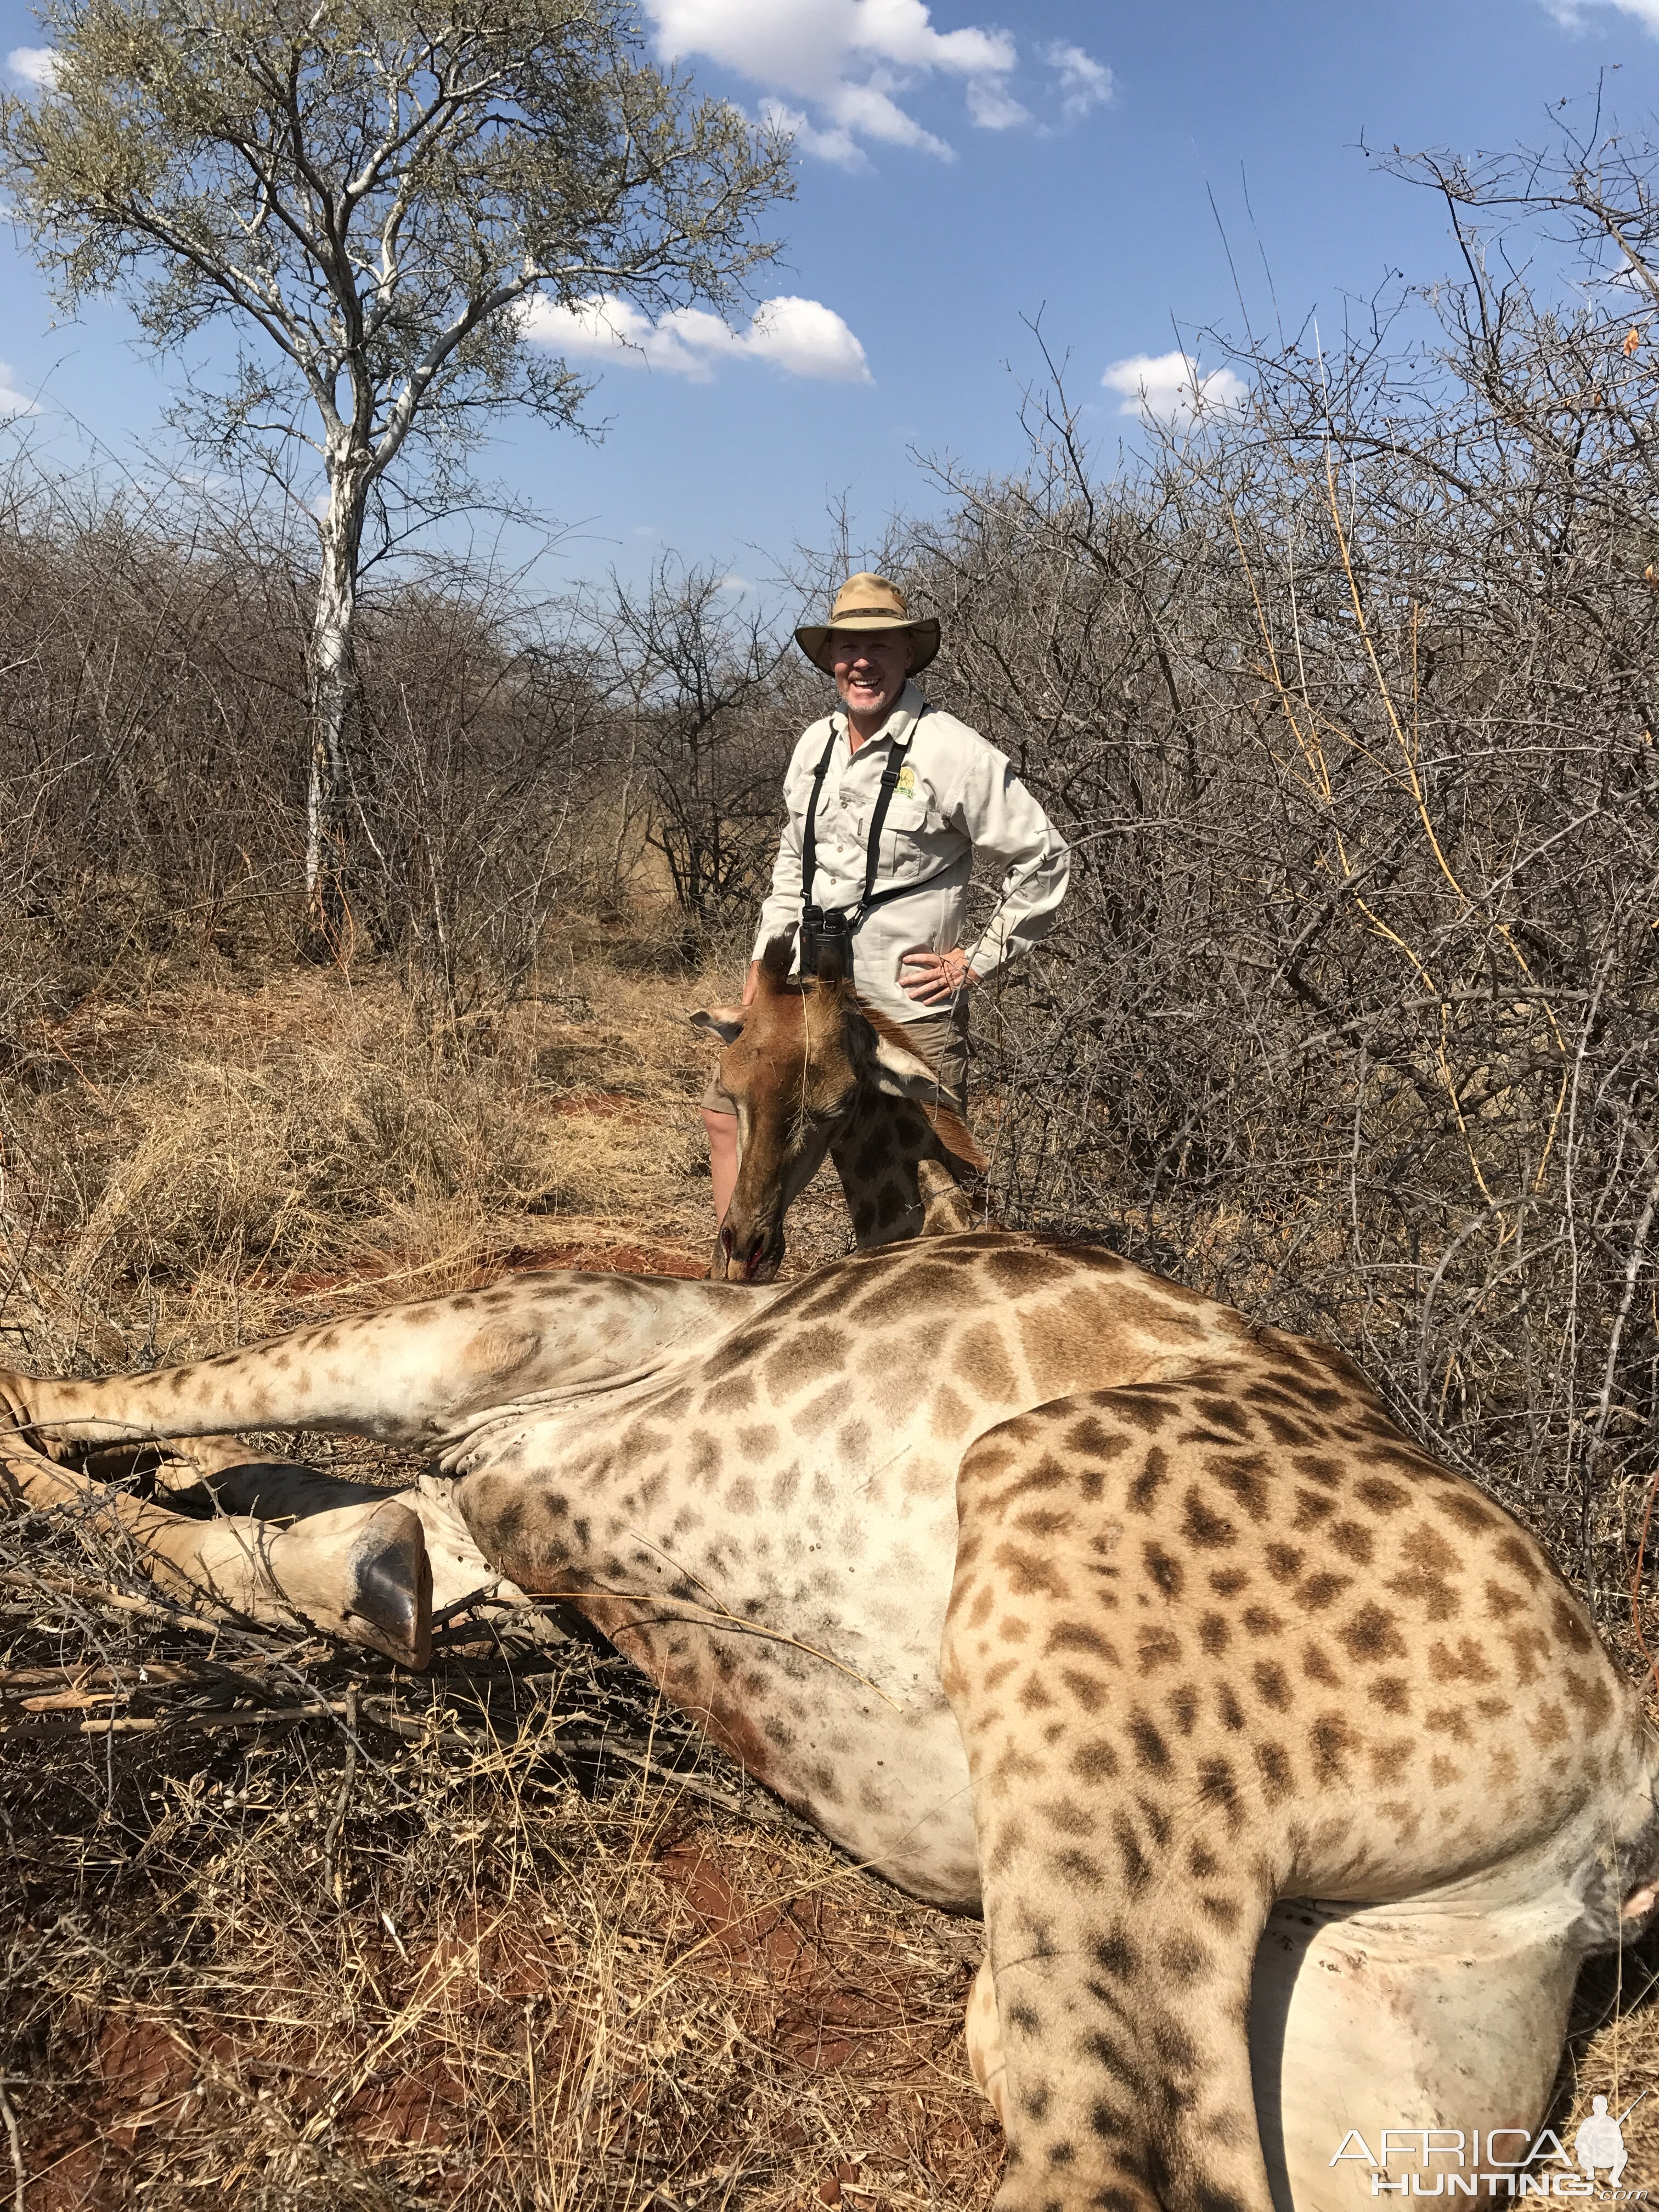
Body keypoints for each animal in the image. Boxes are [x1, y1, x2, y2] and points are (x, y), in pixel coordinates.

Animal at [6, 1238, 1654, 2203]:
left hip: (1064, 1568)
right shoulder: (487, 1518)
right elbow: (249, 1541)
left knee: (1111, 2168)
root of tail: (1615, 1811)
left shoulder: (498, 1338)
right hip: (1367, 2037)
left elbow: (90, 1401)